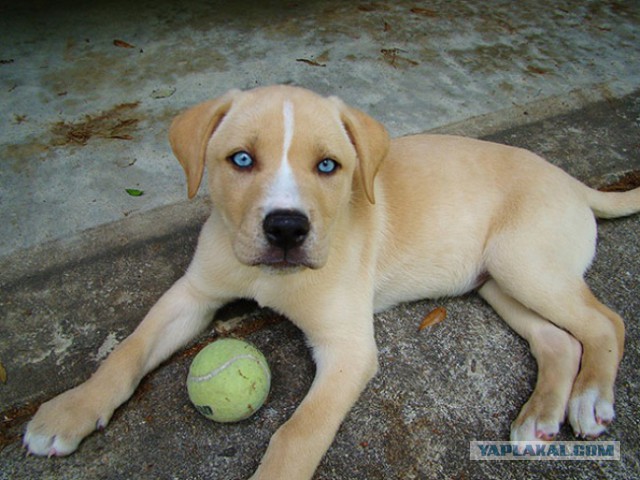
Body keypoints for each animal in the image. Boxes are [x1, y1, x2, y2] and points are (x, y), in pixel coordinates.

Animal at [22, 84, 636, 478]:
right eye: (240, 160)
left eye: (328, 166)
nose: (287, 228)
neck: (273, 276)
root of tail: (572, 181)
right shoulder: (193, 294)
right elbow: (129, 349)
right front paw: (71, 409)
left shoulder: (348, 348)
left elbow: (298, 434)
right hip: (497, 281)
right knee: (559, 340)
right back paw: (538, 420)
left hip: (522, 263)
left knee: (606, 321)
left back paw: (590, 400)